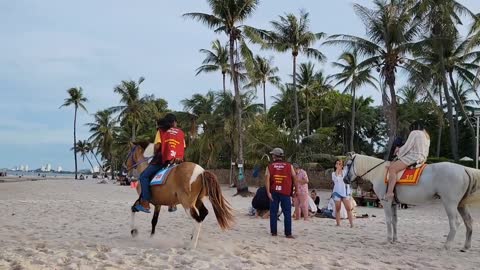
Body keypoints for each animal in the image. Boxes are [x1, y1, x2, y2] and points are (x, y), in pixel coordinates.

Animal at [344, 153, 480, 250]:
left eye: (348, 164)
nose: (345, 179)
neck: (380, 172)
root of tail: (463, 169)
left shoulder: (386, 203)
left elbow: (388, 220)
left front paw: (388, 239)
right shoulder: (394, 204)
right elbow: (394, 221)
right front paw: (394, 239)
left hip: (450, 204)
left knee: (455, 223)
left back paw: (447, 245)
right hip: (461, 205)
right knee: (468, 222)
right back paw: (466, 246)